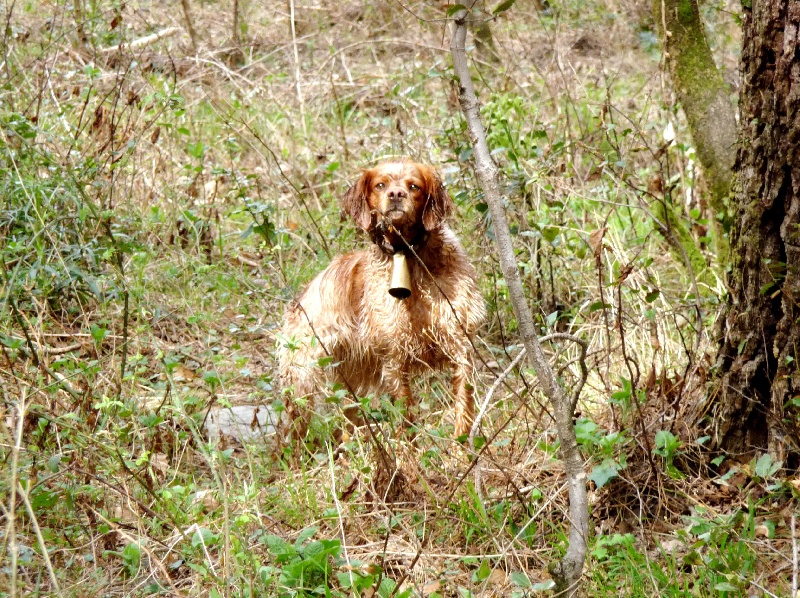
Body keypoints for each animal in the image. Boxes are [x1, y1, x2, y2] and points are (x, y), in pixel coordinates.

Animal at [278, 159, 484, 440]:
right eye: (380, 185)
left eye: (414, 186)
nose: (396, 194)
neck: (409, 259)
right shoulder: (394, 360)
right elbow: (406, 420)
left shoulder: (460, 346)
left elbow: (463, 412)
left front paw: (462, 450)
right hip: (302, 381)